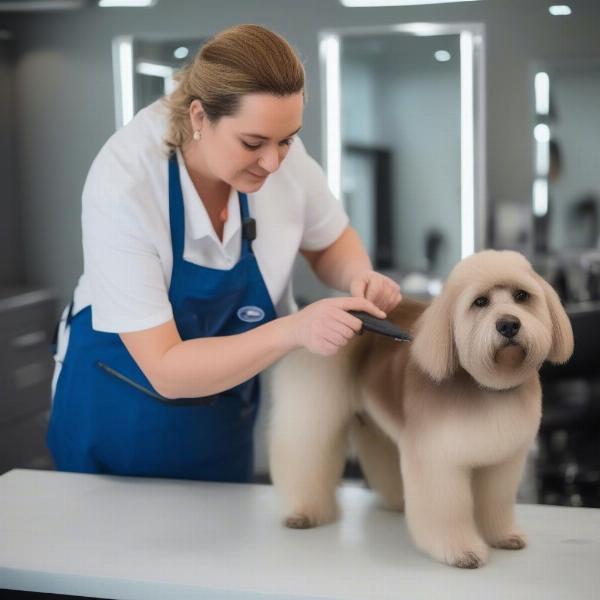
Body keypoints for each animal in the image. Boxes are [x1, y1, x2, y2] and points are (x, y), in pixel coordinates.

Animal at [270, 251, 576, 568]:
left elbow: (496, 502)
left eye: (521, 296)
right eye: (480, 301)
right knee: (305, 454)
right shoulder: (438, 460)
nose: (508, 325)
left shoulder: (503, 461)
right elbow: (446, 510)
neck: (487, 388)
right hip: (313, 406)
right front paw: (461, 551)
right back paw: (303, 512)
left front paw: (503, 535)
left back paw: (397, 501)